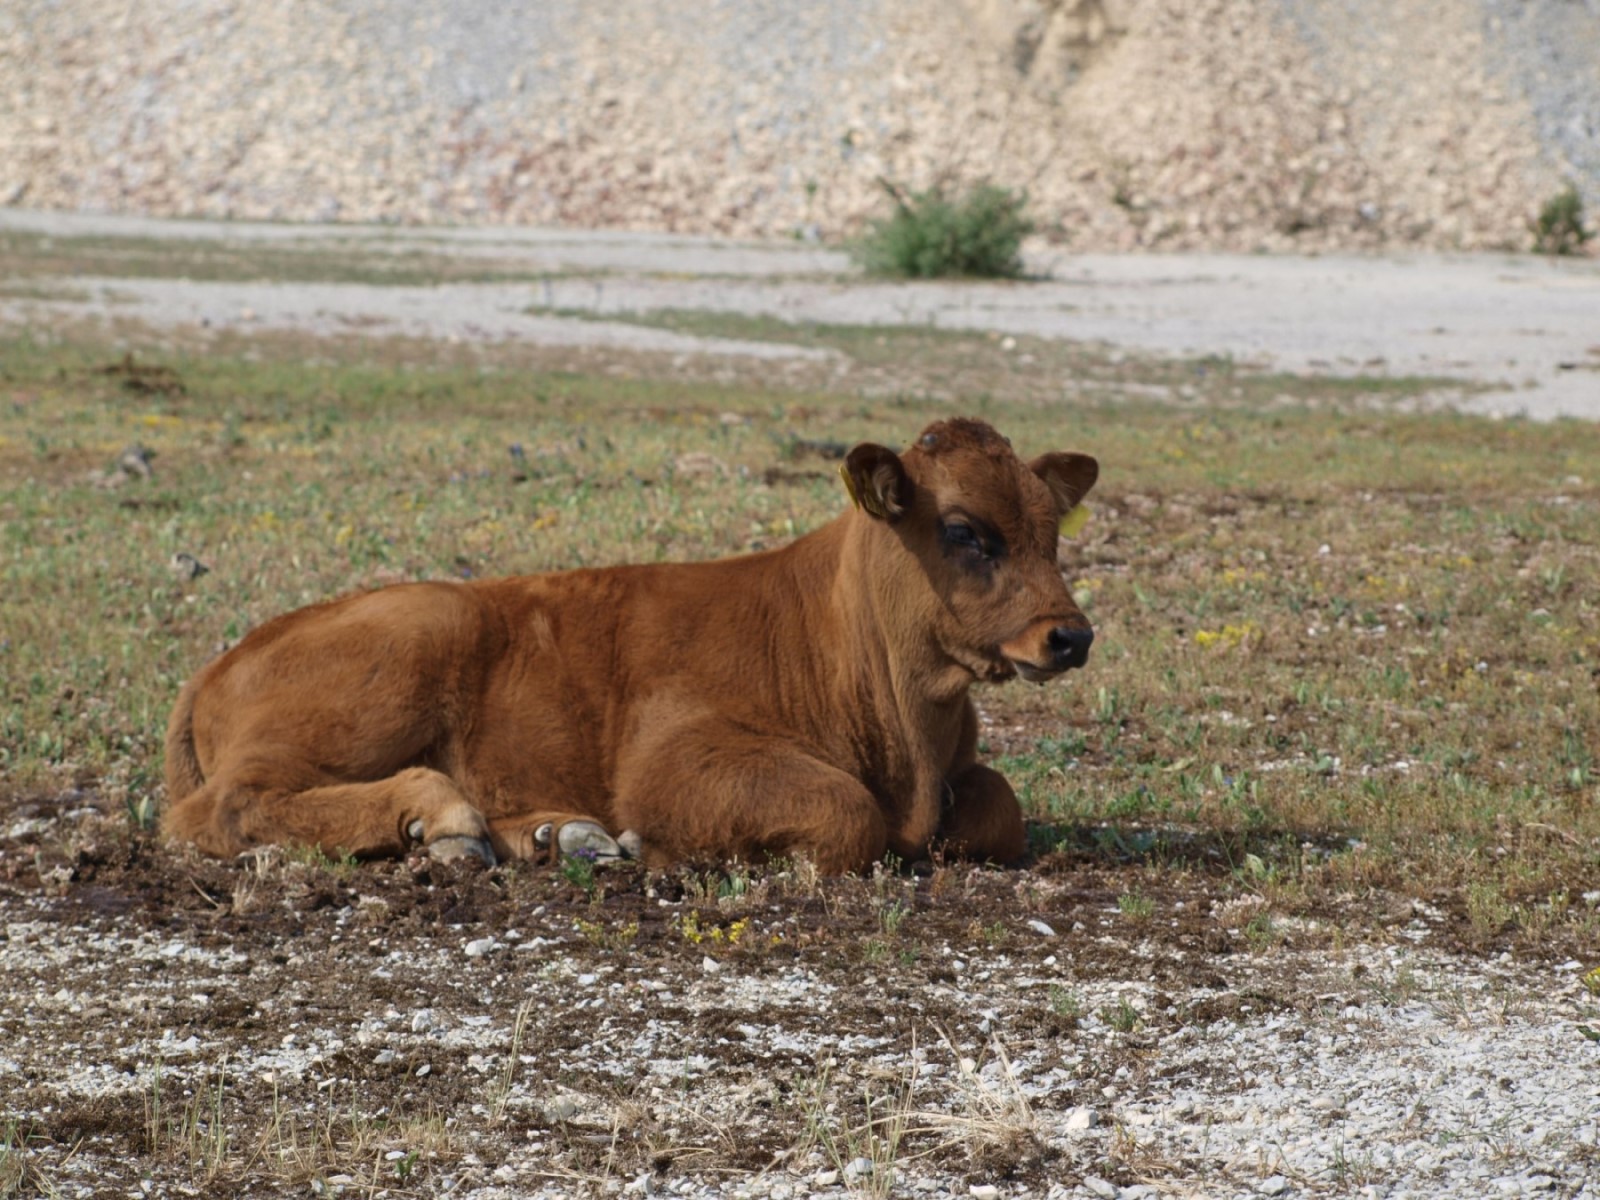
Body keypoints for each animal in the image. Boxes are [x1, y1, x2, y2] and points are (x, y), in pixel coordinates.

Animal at [162, 419, 1094, 876]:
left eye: (1053, 528)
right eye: (965, 530)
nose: (1070, 635)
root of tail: (218, 663)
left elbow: (1000, 808)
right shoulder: (676, 758)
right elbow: (844, 814)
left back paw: (559, 837)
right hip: (410, 646)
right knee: (224, 809)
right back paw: (446, 821)